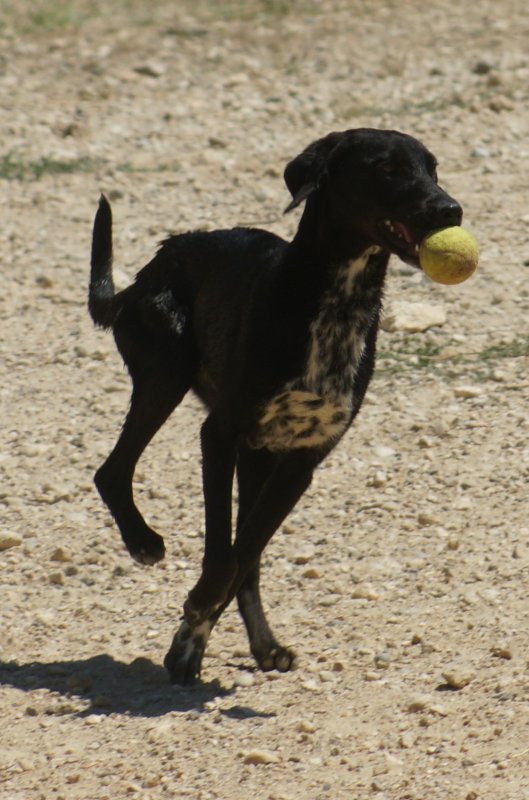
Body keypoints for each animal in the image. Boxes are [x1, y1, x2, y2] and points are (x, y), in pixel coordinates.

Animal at [88, 128, 460, 684]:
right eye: (388, 169)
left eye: (433, 168)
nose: (450, 209)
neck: (337, 302)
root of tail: (147, 272)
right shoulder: (219, 436)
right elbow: (224, 557)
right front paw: (194, 620)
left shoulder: (301, 462)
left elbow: (243, 556)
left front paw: (193, 636)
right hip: (166, 373)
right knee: (112, 471)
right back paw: (142, 540)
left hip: (256, 454)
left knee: (249, 557)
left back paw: (259, 645)